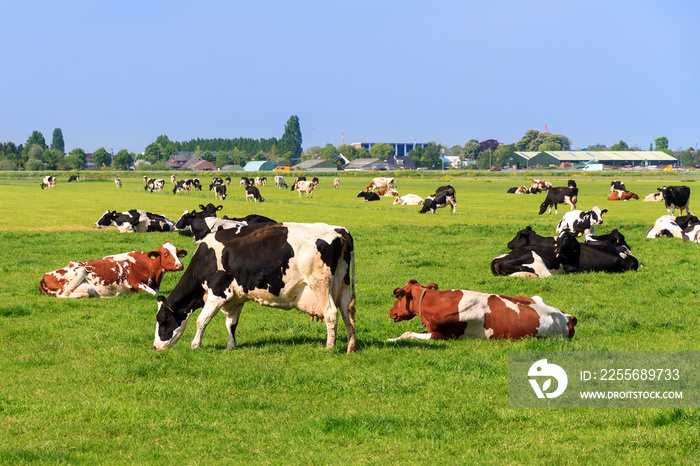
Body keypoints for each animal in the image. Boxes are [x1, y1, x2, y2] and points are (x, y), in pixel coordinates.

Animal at [38, 242, 186, 296]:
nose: (180, 265)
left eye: (177, 253)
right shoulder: (133, 281)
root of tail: (45, 275)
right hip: (80, 271)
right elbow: (156, 294)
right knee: (63, 295)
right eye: (165, 253)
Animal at [386, 278, 576, 340]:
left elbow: (407, 334)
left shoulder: (440, 335)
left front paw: (389, 340)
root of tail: (567, 318)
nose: (391, 312)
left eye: (398, 297)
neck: (435, 303)